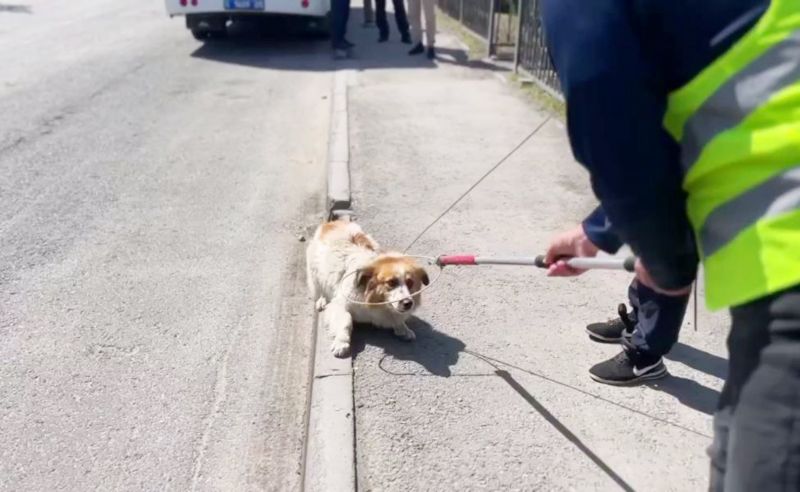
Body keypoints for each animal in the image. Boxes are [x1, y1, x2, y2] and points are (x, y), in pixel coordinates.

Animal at [306, 222, 432, 358]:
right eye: (391, 282)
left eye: (410, 283)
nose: (408, 303)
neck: (375, 302)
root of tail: (332, 222)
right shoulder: (340, 304)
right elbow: (346, 321)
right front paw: (342, 343)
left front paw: (403, 328)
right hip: (316, 274)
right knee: (320, 289)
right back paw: (322, 300)